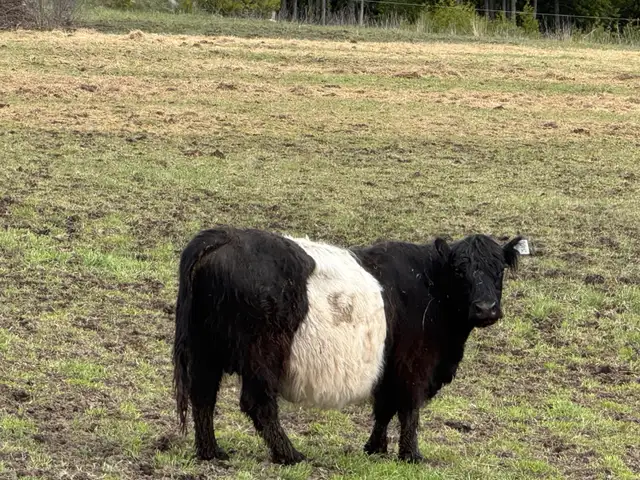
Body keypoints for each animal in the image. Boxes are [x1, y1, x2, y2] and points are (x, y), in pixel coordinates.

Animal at [172, 226, 522, 465]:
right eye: (460, 271)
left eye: (499, 269)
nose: (486, 308)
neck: (430, 284)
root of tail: (224, 236)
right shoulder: (415, 365)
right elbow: (408, 409)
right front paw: (411, 455)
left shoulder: (388, 366)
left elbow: (385, 408)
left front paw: (375, 448)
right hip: (261, 355)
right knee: (257, 403)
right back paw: (289, 454)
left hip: (205, 352)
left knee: (203, 397)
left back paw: (211, 452)